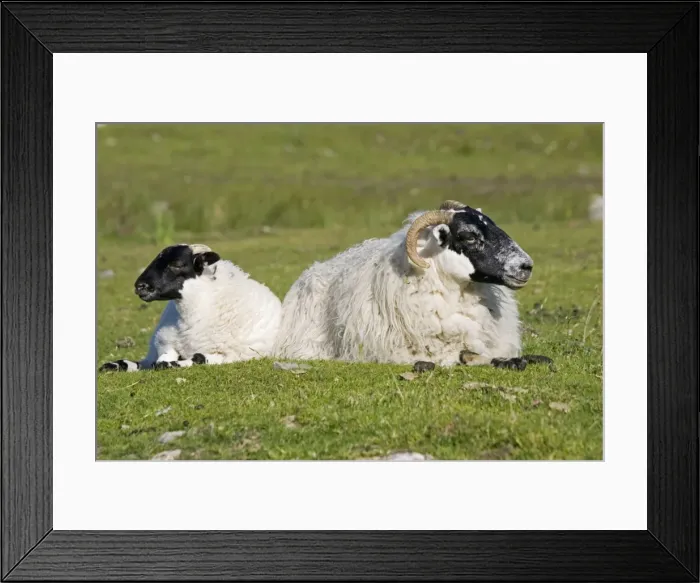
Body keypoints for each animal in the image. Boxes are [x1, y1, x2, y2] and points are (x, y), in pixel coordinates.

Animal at [99, 243, 282, 372]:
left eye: (177, 264)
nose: (140, 286)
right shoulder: (165, 341)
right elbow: (162, 358)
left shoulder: (227, 355)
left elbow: (197, 358)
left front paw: (172, 365)